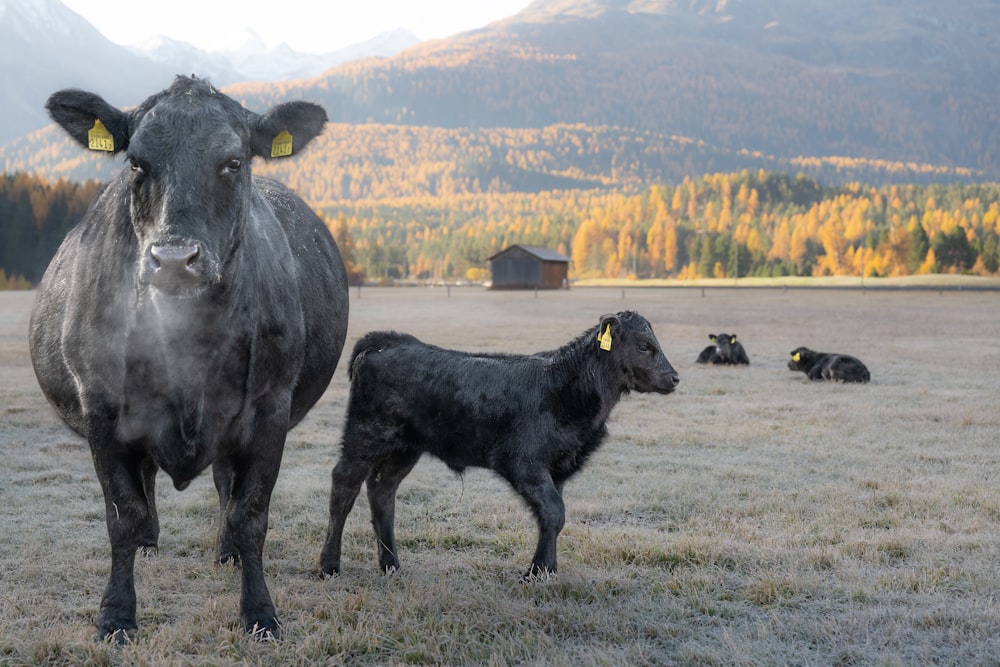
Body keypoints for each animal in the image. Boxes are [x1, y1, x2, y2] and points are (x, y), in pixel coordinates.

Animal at [29, 77, 350, 640]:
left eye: (234, 162)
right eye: (135, 162)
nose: (175, 260)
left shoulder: (270, 409)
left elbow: (250, 514)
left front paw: (260, 612)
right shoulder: (102, 409)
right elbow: (124, 514)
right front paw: (116, 616)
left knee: (223, 486)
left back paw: (226, 553)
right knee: (148, 483)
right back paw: (150, 545)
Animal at [320, 312, 680, 580]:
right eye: (645, 345)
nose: (675, 377)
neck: (564, 387)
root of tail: (386, 342)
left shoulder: (557, 468)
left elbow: (554, 516)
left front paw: (548, 570)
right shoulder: (522, 462)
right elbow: (554, 511)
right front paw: (536, 572)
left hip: (404, 448)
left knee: (382, 491)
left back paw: (391, 564)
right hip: (364, 434)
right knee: (344, 485)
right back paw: (329, 565)